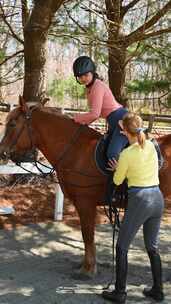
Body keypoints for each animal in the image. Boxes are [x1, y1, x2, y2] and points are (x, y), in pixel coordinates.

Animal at [0, 97, 170, 278]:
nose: (2, 152)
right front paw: (86, 265)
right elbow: (86, 236)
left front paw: (88, 269)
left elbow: (87, 235)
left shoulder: (85, 203)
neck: (77, 151)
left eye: (12, 124)